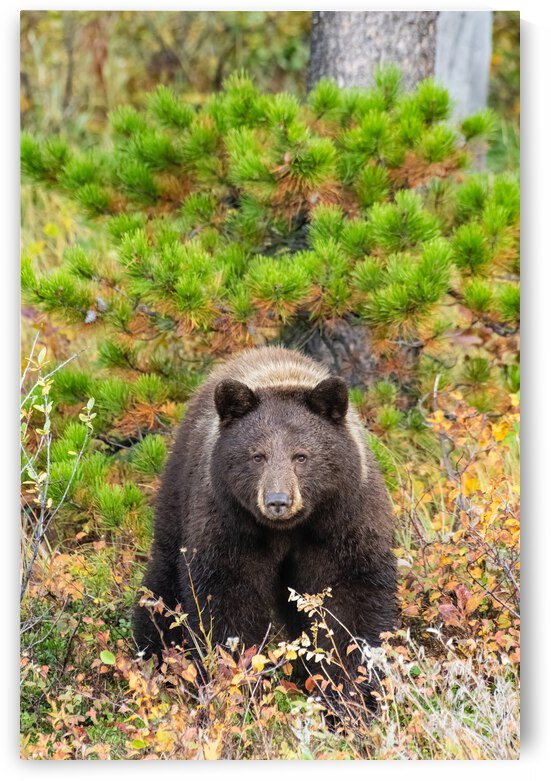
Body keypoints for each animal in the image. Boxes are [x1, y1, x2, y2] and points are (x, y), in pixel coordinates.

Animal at [133, 346, 397, 690]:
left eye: (301, 456)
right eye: (257, 456)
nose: (278, 501)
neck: (289, 530)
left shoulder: (343, 520)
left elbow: (350, 600)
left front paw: (354, 685)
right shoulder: (230, 525)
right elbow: (227, 599)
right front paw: (233, 674)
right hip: (178, 493)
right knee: (162, 581)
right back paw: (152, 654)